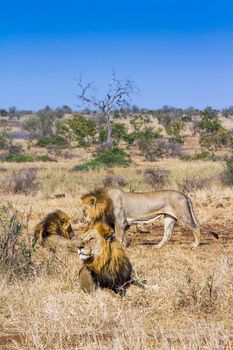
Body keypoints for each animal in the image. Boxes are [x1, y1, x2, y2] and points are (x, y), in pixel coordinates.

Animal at [81, 187, 218, 247]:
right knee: (167, 234)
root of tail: (185, 195)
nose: (81, 220)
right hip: (169, 218)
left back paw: (195, 245)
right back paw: (157, 246)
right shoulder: (123, 223)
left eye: (84, 210)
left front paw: (120, 247)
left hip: (183, 215)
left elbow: (119, 237)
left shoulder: (120, 221)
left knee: (196, 229)